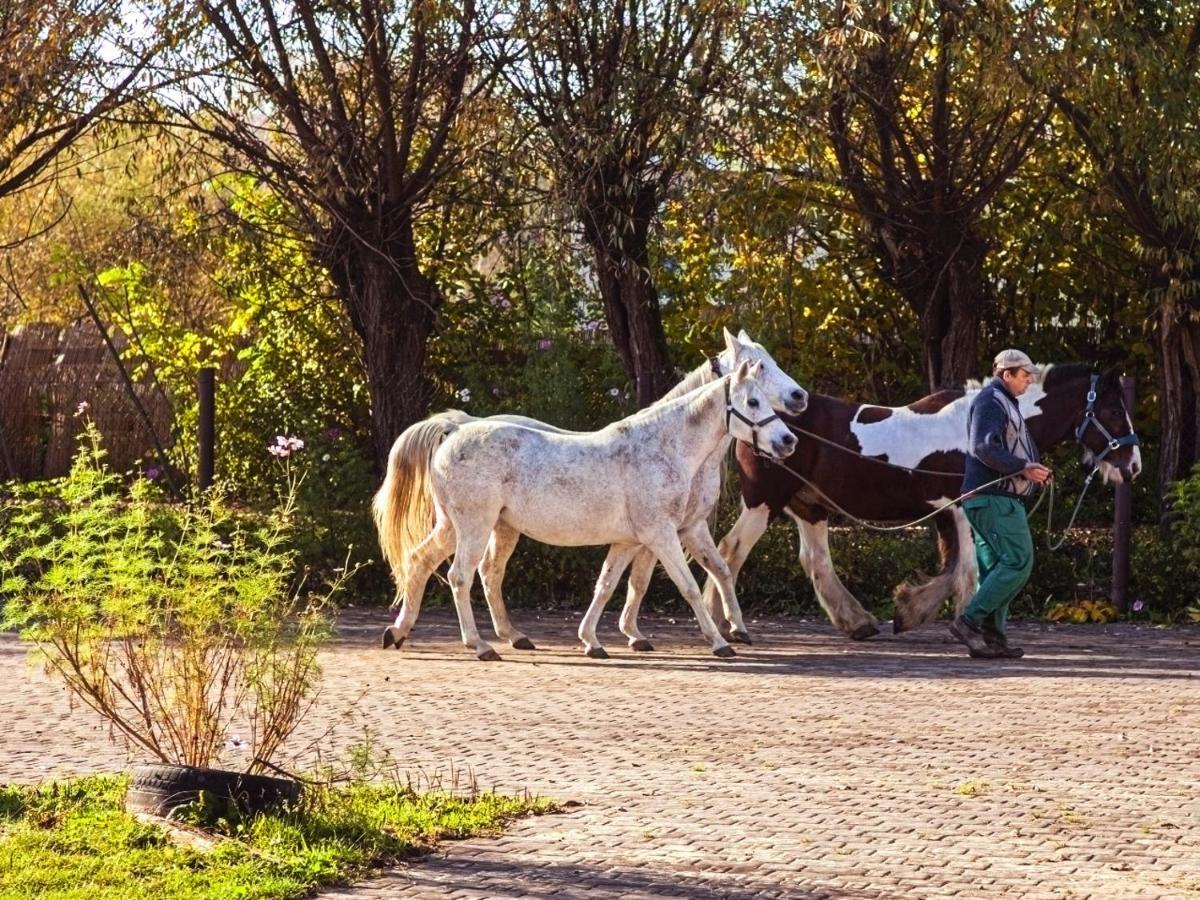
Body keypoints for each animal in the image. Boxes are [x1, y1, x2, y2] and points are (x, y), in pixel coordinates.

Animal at [676, 364, 1142, 643]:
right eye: (1114, 412)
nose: (1133, 465)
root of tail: (757, 421)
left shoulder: (948, 514)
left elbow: (953, 569)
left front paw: (910, 611)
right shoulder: (960, 509)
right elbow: (966, 571)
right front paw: (959, 625)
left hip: (810, 507)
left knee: (816, 563)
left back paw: (858, 623)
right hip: (763, 503)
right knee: (729, 553)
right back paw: (725, 624)